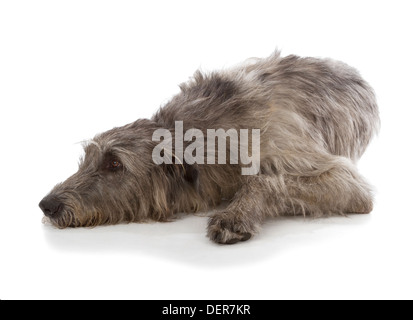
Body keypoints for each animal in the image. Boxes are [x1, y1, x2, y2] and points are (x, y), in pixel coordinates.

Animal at [40, 51, 378, 244]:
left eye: (114, 164)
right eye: (85, 159)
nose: (47, 205)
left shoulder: (307, 158)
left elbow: (264, 180)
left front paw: (235, 216)